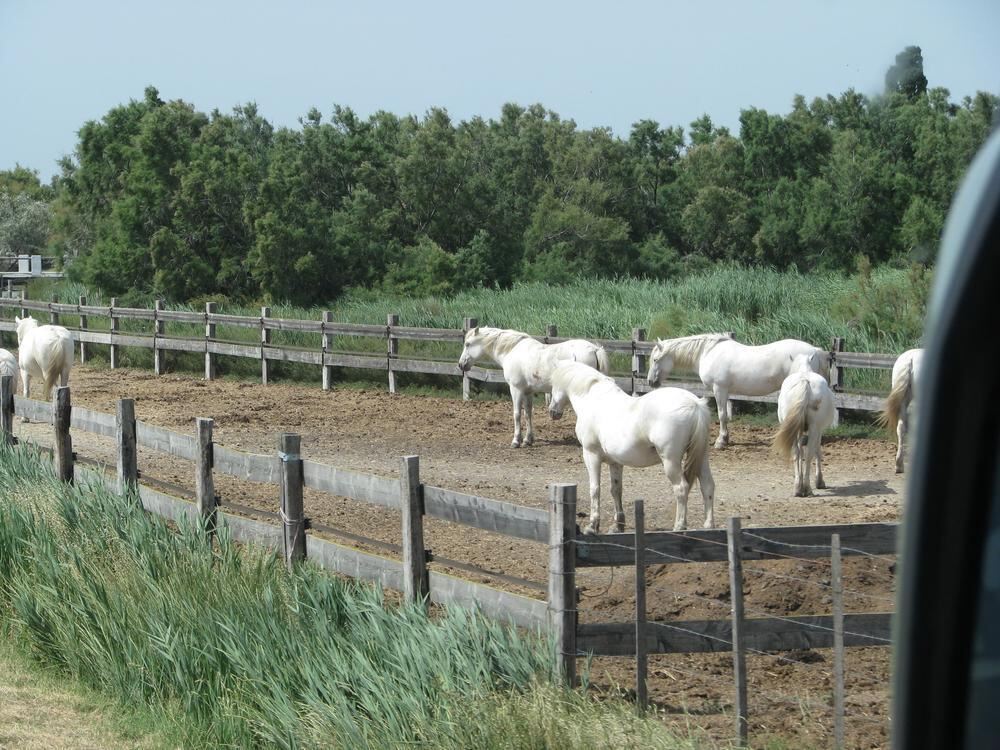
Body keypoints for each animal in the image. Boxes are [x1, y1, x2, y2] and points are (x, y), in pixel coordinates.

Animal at [458, 328, 608, 446]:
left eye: (468, 344)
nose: (461, 365)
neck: (512, 351)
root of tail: (594, 349)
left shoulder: (516, 389)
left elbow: (517, 414)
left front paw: (516, 441)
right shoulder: (527, 392)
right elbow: (528, 414)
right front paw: (527, 440)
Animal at [544, 360, 716, 532]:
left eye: (553, 384)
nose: (552, 411)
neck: (593, 398)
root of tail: (695, 404)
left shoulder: (591, 455)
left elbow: (595, 489)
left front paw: (592, 525)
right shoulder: (615, 462)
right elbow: (616, 490)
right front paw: (618, 525)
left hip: (670, 461)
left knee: (681, 488)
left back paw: (679, 526)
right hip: (701, 457)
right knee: (707, 486)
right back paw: (708, 526)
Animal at [644, 334, 832, 450]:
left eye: (656, 359)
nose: (651, 382)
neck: (708, 353)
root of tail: (815, 350)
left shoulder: (719, 389)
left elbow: (722, 415)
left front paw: (721, 441)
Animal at [772, 354, 836, 500]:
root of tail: (805, 381)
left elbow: (800, 451)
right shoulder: (819, 431)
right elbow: (817, 451)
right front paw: (820, 481)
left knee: (796, 452)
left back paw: (798, 488)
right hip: (814, 428)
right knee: (810, 454)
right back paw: (807, 488)